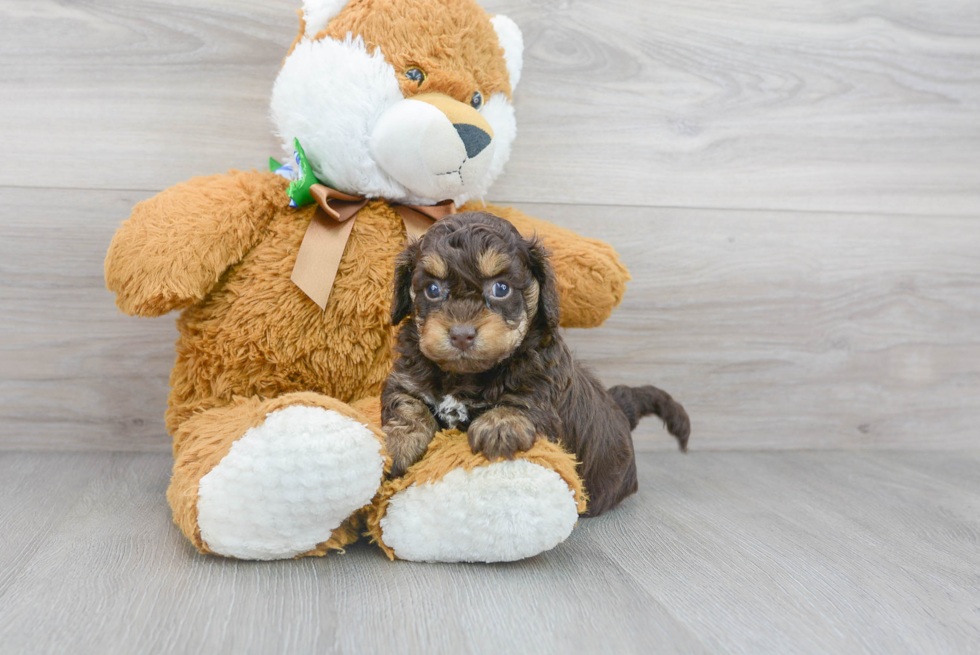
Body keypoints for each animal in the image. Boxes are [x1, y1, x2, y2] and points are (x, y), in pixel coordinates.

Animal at [382, 213, 688, 516]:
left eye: (501, 288)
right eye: (433, 289)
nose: (461, 335)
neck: (467, 375)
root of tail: (620, 409)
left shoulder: (543, 385)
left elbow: (524, 401)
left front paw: (499, 426)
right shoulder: (406, 379)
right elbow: (407, 405)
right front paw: (398, 442)